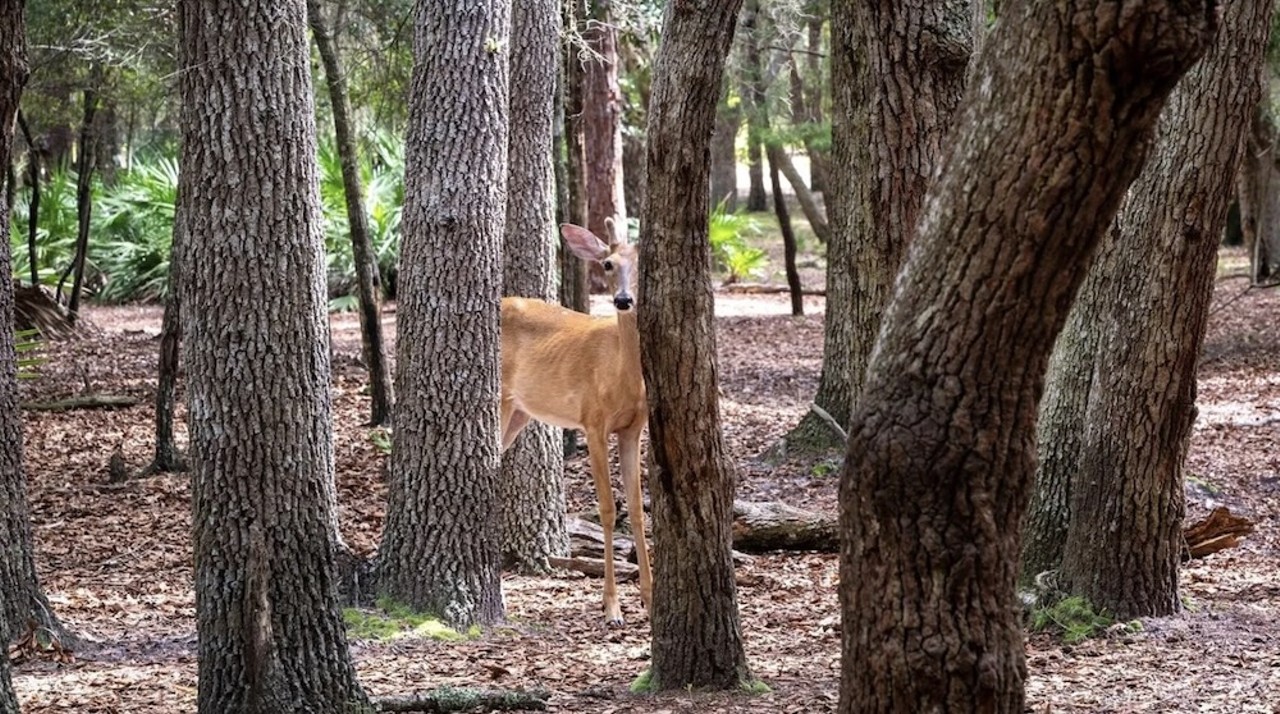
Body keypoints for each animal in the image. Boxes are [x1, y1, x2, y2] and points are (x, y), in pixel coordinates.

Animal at [501, 222, 655, 626]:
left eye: (643, 264)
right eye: (607, 264)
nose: (623, 300)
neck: (620, 373)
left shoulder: (634, 428)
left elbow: (636, 508)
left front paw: (650, 599)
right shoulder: (593, 421)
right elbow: (608, 509)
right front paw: (612, 606)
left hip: (520, 412)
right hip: (499, 400)